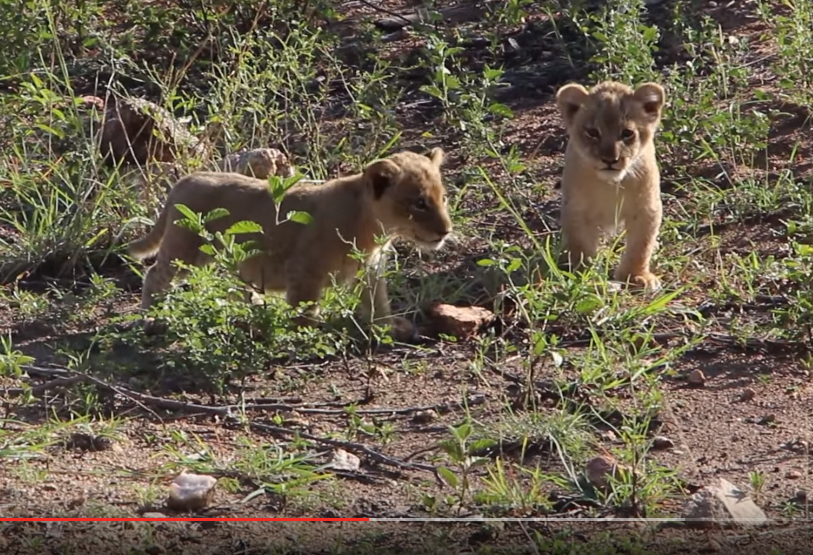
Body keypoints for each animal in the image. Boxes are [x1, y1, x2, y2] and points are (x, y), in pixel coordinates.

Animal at [125, 148, 453, 342]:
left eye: (443, 198)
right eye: (419, 203)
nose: (446, 230)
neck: (372, 229)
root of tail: (185, 179)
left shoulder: (369, 268)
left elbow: (376, 301)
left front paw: (388, 326)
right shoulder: (304, 268)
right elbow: (304, 308)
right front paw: (305, 336)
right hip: (186, 249)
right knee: (155, 275)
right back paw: (150, 319)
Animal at [554, 80, 666, 291]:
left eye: (627, 133)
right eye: (592, 133)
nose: (610, 160)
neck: (610, 184)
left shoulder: (646, 208)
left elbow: (641, 246)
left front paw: (637, 276)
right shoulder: (577, 211)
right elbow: (583, 248)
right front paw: (590, 280)